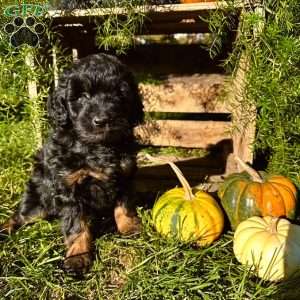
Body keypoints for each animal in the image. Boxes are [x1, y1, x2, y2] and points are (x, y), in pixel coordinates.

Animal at [0, 53, 144, 274]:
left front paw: (130, 228)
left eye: (119, 95)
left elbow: (125, 205)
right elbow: (76, 225)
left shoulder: (125, 175)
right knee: (20, 216)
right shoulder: (69, 187)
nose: (102, 120)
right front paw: (78, 257)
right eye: (82, 96)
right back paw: (5, 228)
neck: (97, 146)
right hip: (39, 204)